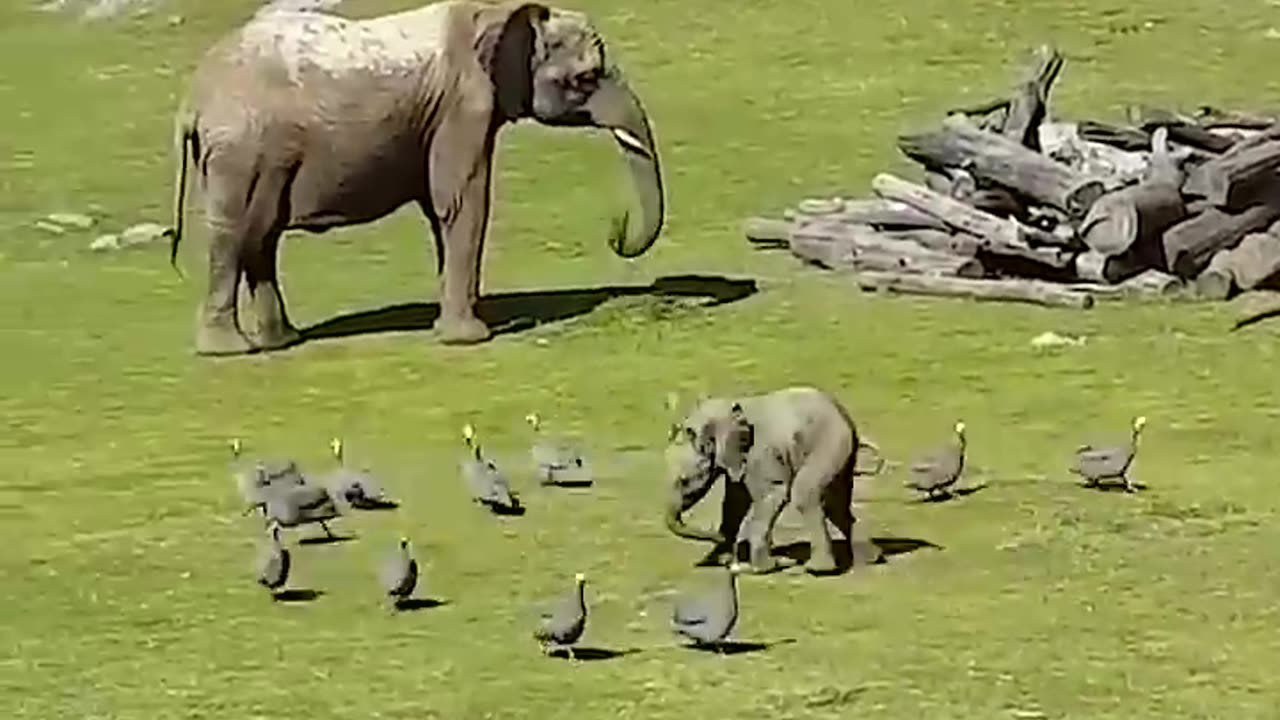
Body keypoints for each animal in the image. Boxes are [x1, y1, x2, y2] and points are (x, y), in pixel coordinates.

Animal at [163, 0, 665, 353]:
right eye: (586, 79)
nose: (615, 229)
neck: (496, 13)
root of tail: (192, 100)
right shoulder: (463, 106)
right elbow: (463, 202)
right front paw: (470, 339)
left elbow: (442, 208)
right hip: (242, 151)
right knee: (236, 235)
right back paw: (229, 350)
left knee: (260, 238)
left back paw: (280, 341)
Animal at [660, 384, 880, 573]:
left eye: (684, 481)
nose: (717, 537)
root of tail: (846, 418)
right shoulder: (739, 458)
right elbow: (734, 503)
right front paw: (725, 560)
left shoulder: (760, 451)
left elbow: (772, 493)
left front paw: (764, 568)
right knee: (835, 502)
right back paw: (869, 559)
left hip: (829, 444)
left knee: (805, 494)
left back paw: (817, 570)